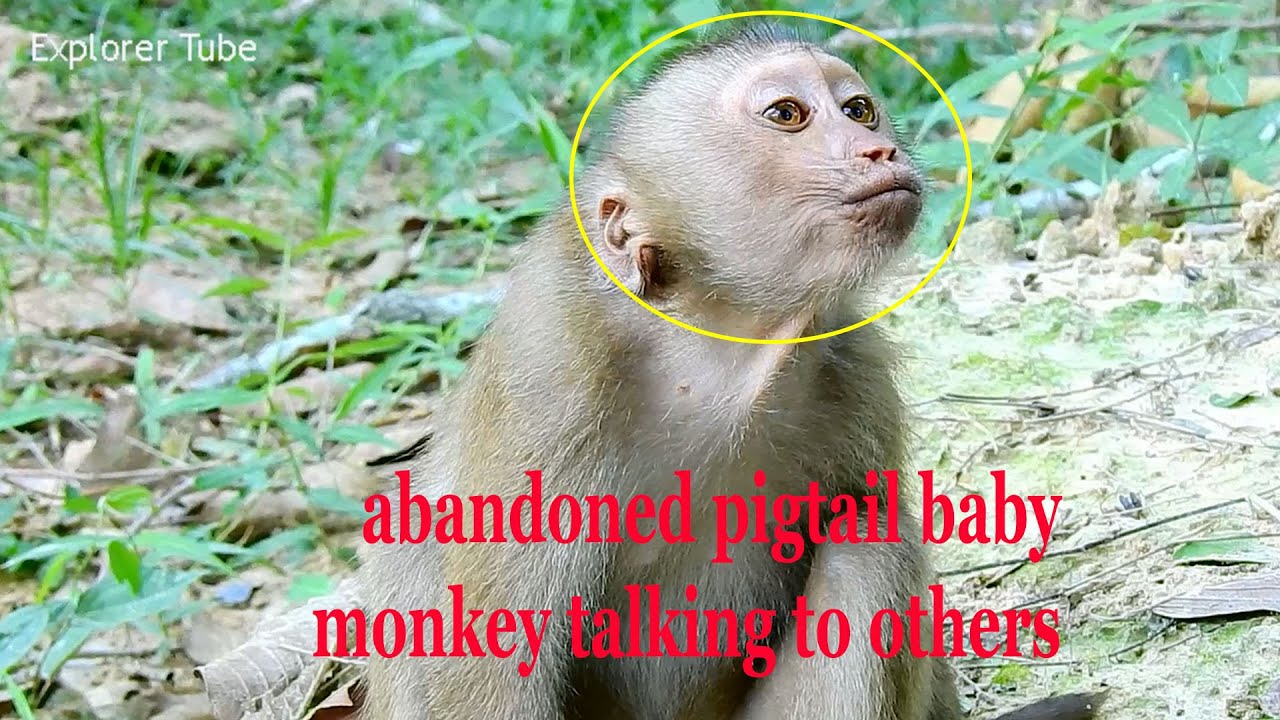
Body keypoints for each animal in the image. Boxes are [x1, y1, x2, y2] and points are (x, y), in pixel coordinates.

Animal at [359, 23, 1104, 720]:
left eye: (859, 110)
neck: (717, 357)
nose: (878, 150)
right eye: (788, 115)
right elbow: (489, 654)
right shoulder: (547, 366)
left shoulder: (858, 376)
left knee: (868, 534)